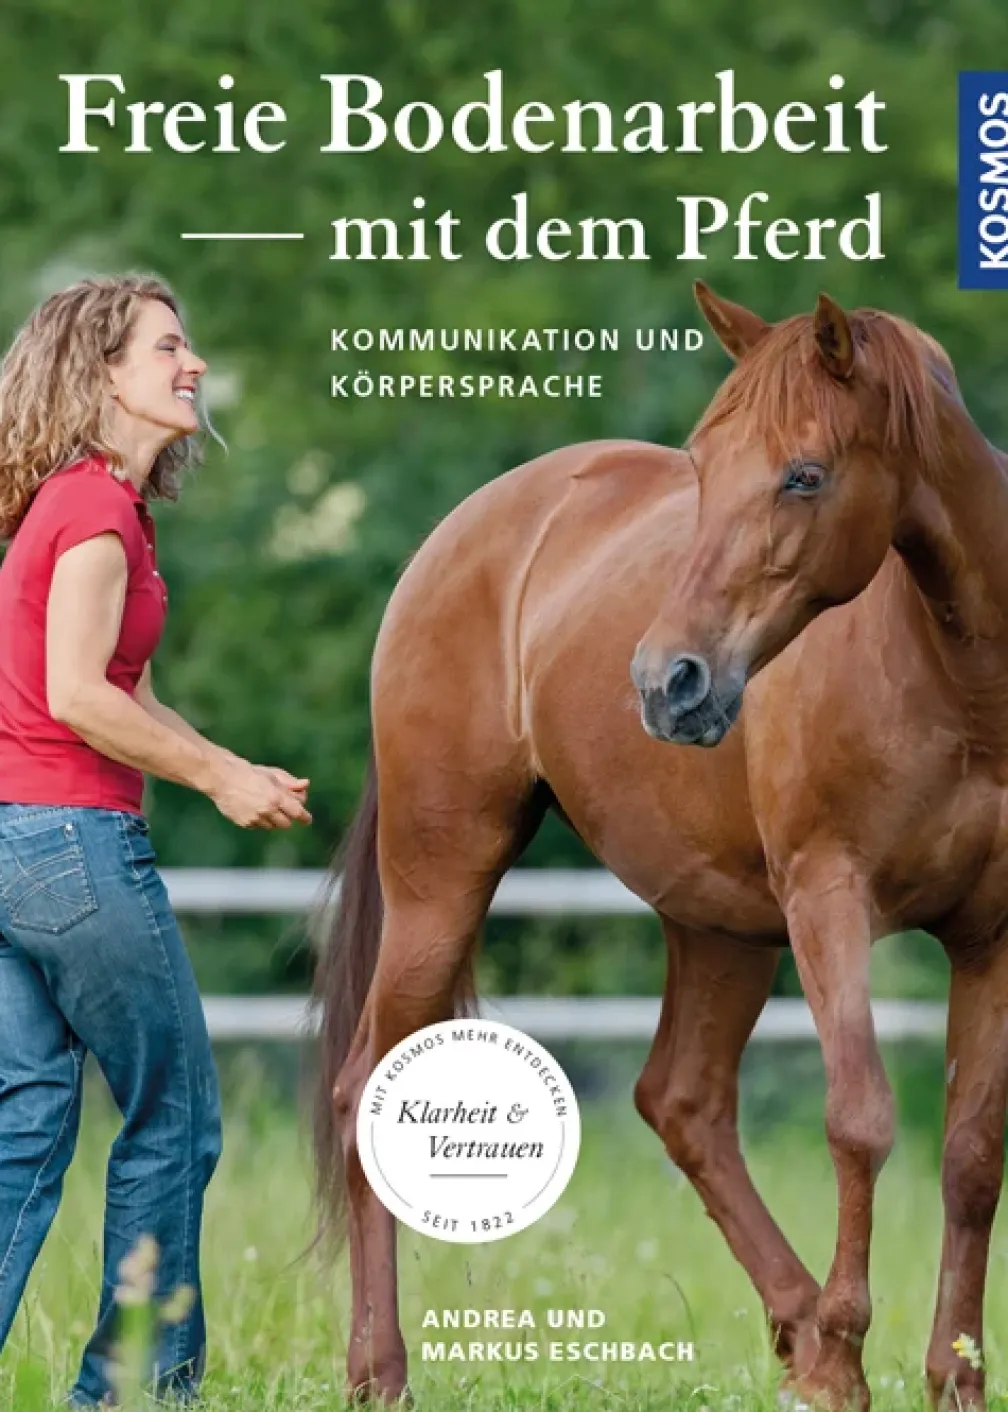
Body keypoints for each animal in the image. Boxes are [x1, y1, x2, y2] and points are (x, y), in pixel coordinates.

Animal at [313, 282, 1008, 1411]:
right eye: (702, 467)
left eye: (804, 473)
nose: (667, 679)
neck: (958, 683)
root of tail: (469, 530)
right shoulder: (830, 899)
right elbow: (859, 1118)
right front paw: (850, 1352)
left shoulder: (990, 936)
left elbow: (973, 1153)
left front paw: (952, 1376)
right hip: (441, 874)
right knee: (369, 1078)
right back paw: (381, 1370)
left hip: (718, 921)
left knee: (682, 1100)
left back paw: (800, 1333)